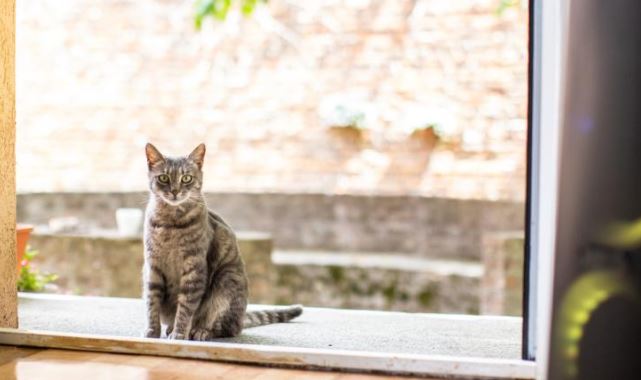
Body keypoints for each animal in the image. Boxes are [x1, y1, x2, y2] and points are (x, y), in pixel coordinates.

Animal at [142, 143, 302, 342]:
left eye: (186, 178)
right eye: (163, 178)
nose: (175, 191)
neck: (170, 223)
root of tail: (242, 317)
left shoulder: (194, 269)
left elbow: (186, 308)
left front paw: (179, 334)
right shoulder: (152, 267)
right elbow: (152, 303)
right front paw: (152, 331)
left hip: (226, 281)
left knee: (227, 328)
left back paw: (200, 331)